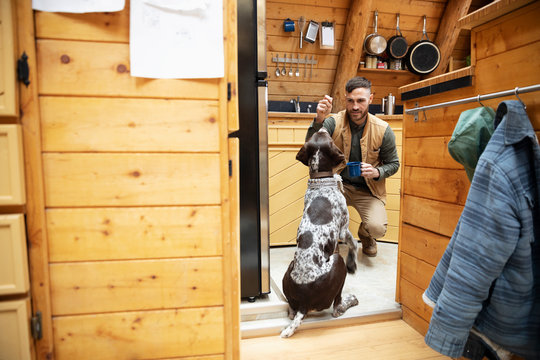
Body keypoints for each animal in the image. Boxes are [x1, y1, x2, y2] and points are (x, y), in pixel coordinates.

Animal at [278, 129, 358, 338]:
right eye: (327, 137)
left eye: (315, 135)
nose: (322, 128)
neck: (321, 180)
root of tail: (304, 304)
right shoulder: (343, 229)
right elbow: (354, 243)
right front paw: (354, 263)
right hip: (338, 261)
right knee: (337, 308)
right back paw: (351, 300)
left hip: (289, 275)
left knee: (291, 311)